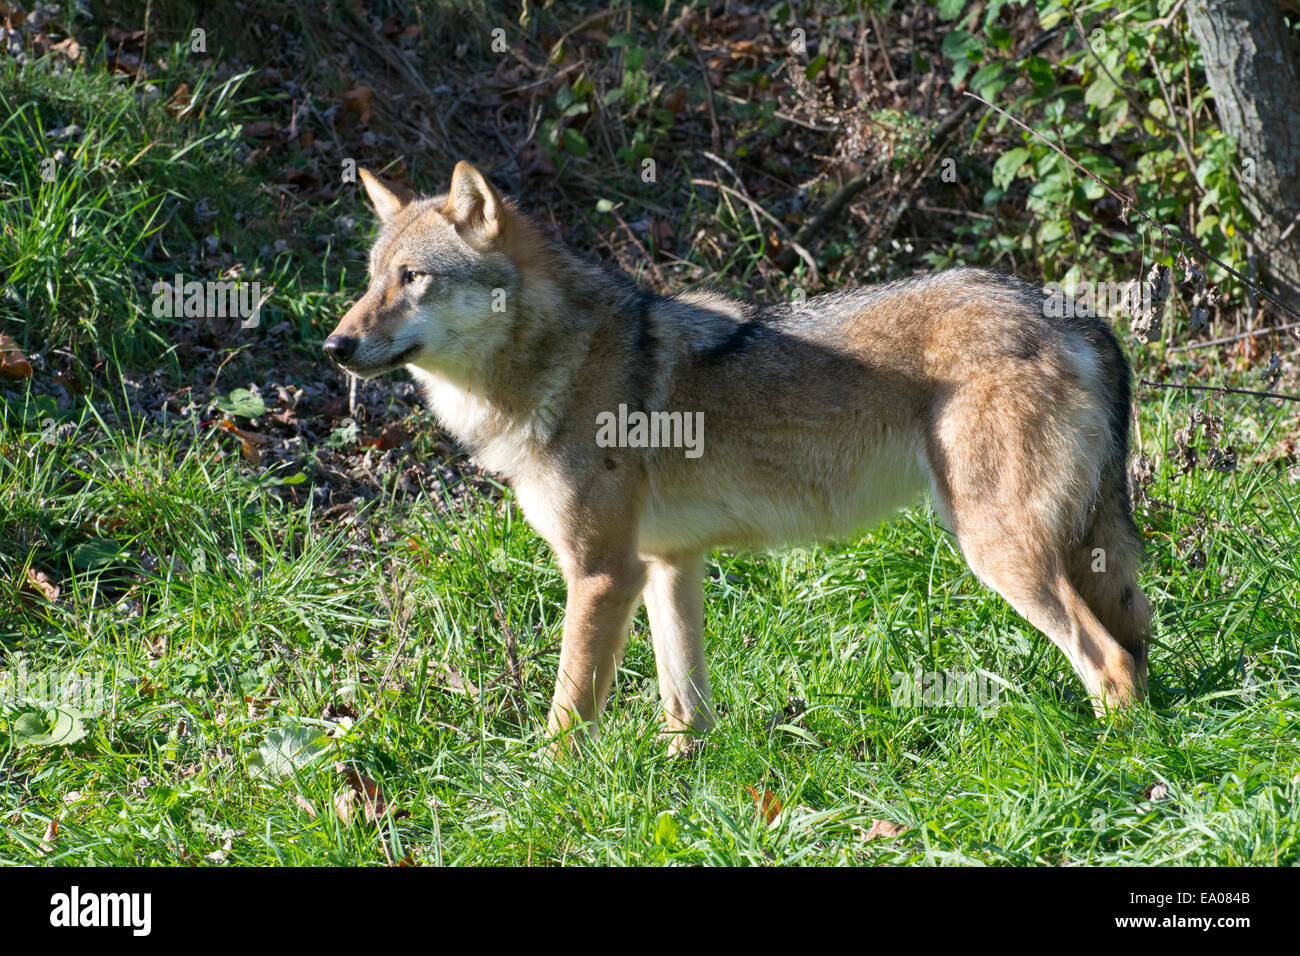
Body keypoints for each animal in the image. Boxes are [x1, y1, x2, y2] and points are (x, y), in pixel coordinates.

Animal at [324, 162, 1152, 754]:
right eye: (369, 279)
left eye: (413, 278)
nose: (335, 345)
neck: (558, 364)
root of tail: (1075, 314)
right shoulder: (665, 564)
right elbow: (683, 702)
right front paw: (682, 781)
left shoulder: (600, 574)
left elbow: (568, 712)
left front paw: (546, 793)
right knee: (1135, 651)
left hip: (996, 551)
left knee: (1109, 665)